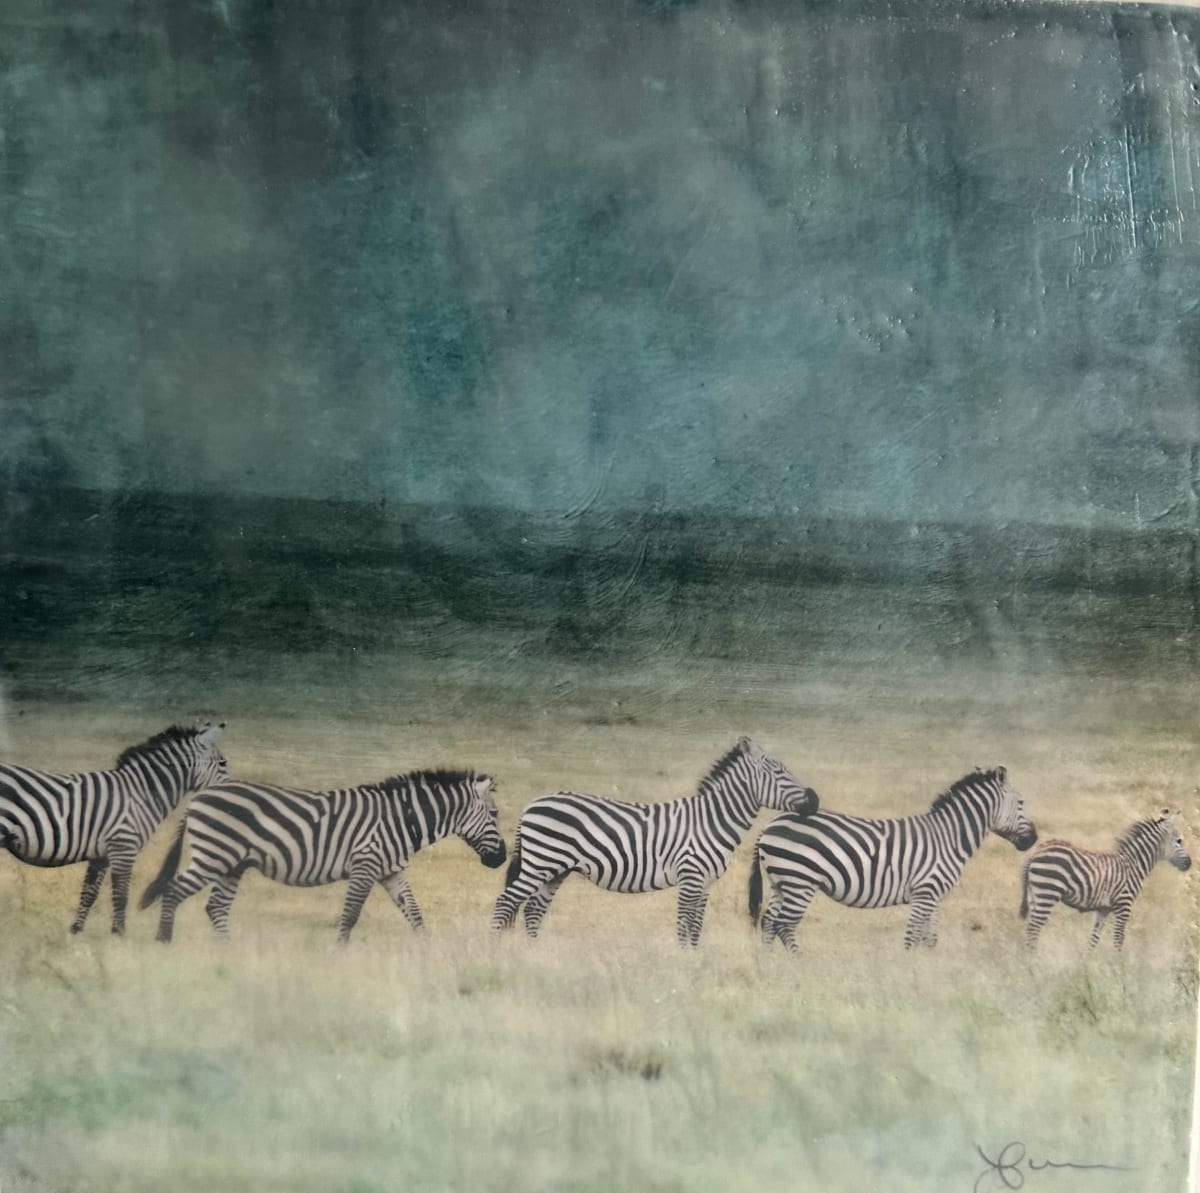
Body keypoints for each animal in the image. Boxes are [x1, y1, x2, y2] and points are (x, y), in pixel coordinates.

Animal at [0, 722, 229, 935]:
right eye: (223, 763)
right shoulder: (123, 846)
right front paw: (119, 934)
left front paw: (76, 932)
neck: (141, 793)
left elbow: (89, 894)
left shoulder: (101, 855)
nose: (230, 793)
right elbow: (121, 894)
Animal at [139, 768, 506, 943]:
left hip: (233, 864)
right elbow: (351, 914)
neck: (403, 819)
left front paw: (424, 949)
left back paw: (227, 950)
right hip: (214, 855)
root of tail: (199, 797)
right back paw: (164, 940)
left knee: (215, 906)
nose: (501, 859)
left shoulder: (391, 870)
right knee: (174, 890)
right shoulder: (366, 864)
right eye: (495, 814)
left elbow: (414, 913)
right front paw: (339, 951)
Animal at [490, 737, 819, 946]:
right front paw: (681, 965)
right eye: (779, 771)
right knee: (506, 902)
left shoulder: (705, 884)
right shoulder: (690, 877)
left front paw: (693, 961)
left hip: (555, 870)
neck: (712, 820)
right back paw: (495, 952)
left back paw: (535, 955)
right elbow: (684, 925)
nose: (815, 800)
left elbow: (696, 928)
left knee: (532, 912)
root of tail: (530, 804)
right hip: (541, 863)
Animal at [749, 766, 1037, 951]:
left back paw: (770, 964)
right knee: (784, 925)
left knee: (769, 923)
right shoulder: (925, 892)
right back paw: (798, 963)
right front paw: (909, 970)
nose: (1033, 839)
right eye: (1021, 803)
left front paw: (927, 970)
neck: (949, 837)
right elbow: (911, 937)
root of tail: (770, 825)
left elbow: (929, 939)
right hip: (800, 880)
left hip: (780, 883)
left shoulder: (933, 897)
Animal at [1019, 810, 1191, 950]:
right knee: (1033, 932)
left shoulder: (1104, 909)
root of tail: (1036, 852)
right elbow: (1118, 939)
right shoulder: (1124, 907)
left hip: (1035, 895)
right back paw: (1032, 962)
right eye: (1179, 840)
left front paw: (1087, 964)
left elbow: (1094, 939)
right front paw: (1118, 966)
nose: (1189, 863)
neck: (1132, 865)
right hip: (1047, 892)